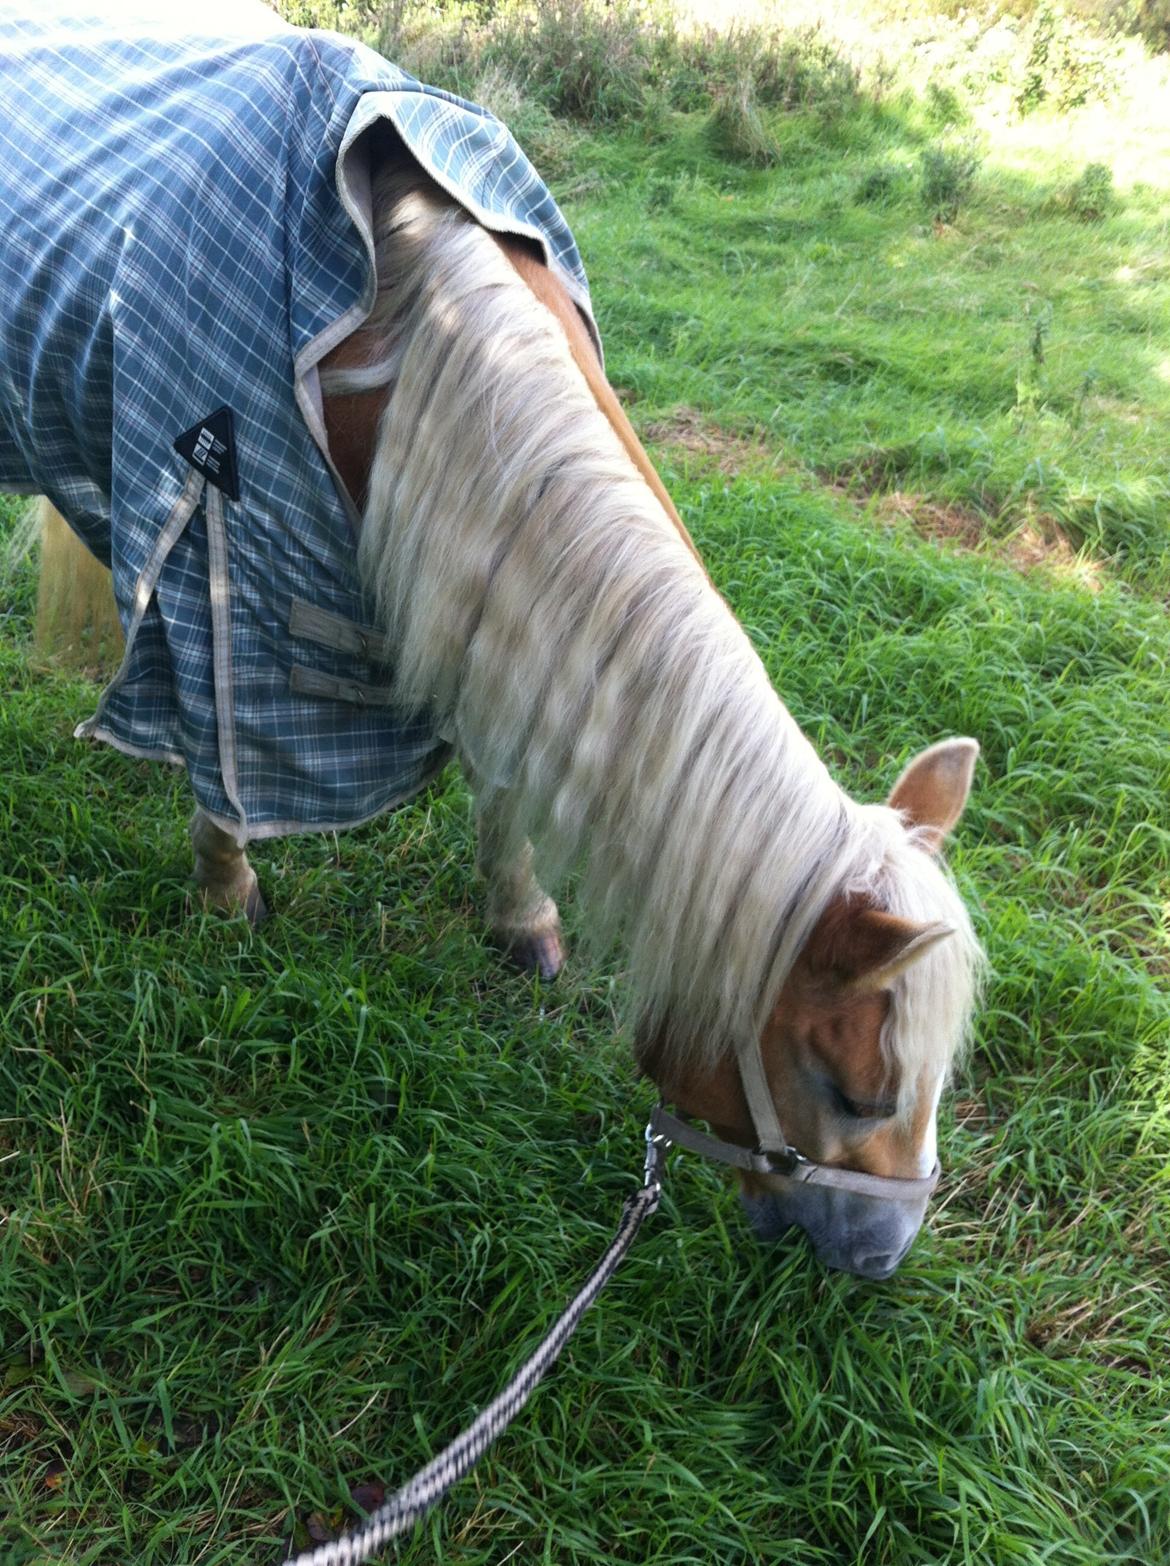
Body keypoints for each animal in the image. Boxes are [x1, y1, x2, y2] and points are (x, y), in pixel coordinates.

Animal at [4, 6, 983, 1277]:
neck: (409, 316)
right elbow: (223, 751)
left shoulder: (472, 583)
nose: (879, 1256)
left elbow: (507, 769)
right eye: (851, 1087)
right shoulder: (221, 565)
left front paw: (521, 922)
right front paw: (227, 891)